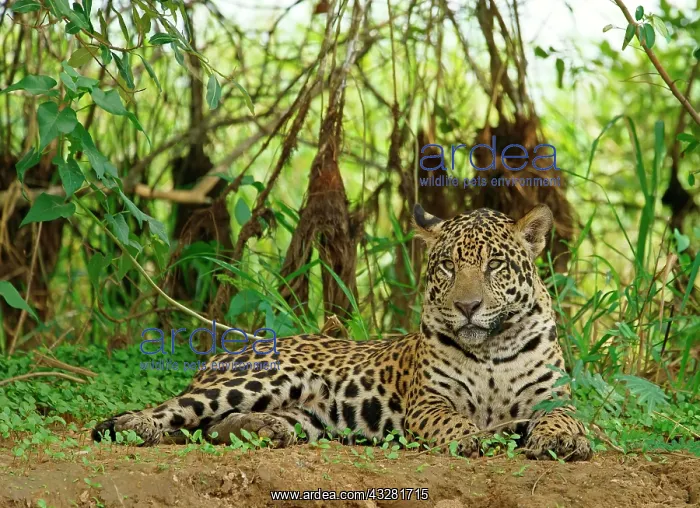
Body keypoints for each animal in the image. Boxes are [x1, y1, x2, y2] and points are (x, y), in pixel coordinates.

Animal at [93, 203, 592, 461]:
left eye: (495, 265)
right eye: (448, 266)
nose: (467, 307)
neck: (490, 348)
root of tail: (227, 353)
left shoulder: (554, 397)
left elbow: (563, 417)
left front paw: (563, 440)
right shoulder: (429, 402)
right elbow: (451, 419)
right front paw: (471, 436)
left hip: (308, 412)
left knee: (217, 427)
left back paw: (268, 430)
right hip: (266, 378)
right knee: (173, 410)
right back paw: (137, 427)